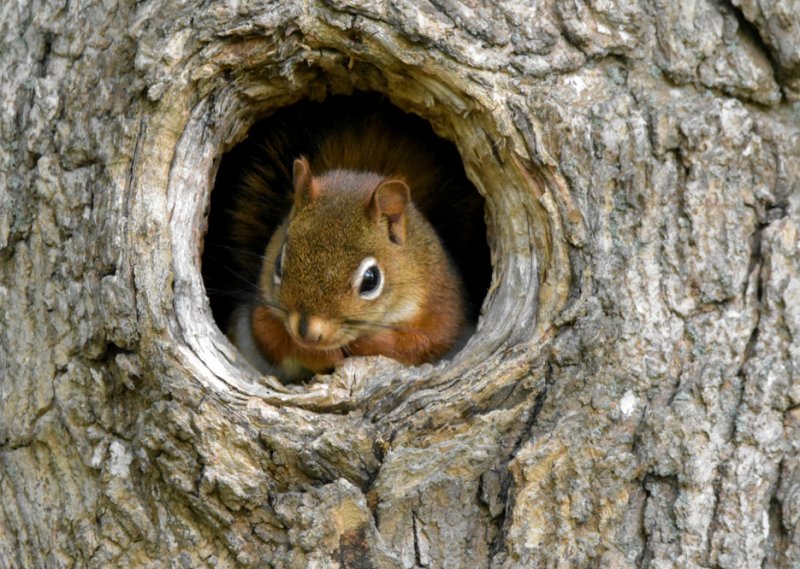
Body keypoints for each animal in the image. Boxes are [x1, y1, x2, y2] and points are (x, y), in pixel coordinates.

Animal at [204, 95, 488, 381]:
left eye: (371, 280)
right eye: (278, 264)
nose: (307, 332)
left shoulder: (441, 305)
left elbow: (426, 342)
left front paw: (367, 343)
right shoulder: (262, 308)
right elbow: (270, 336)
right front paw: (319, 353)